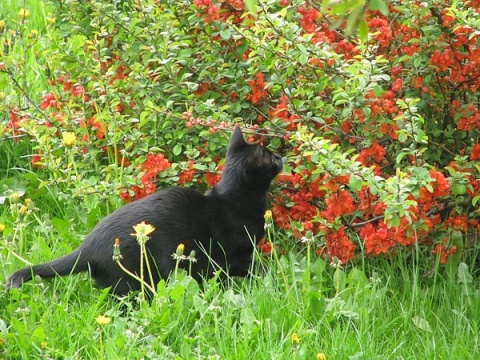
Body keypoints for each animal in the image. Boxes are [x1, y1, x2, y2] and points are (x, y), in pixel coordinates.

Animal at [5, 126, 284, 296]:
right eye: (270, 157)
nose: (281, 156)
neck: (235, 199)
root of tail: (87, 247)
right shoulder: (228, 257)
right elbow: (251, 269)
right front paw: (270, 281)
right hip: (141, 275)